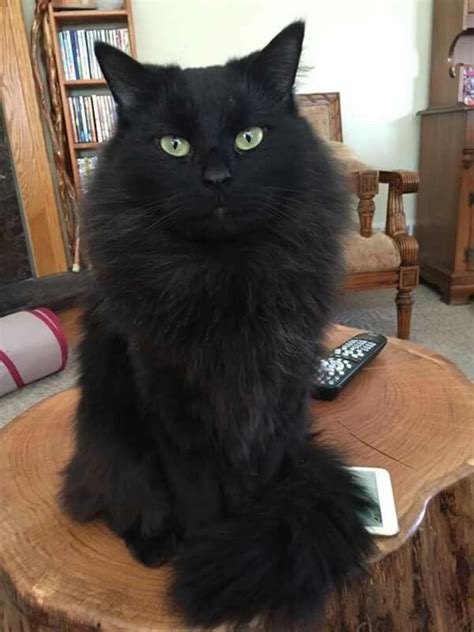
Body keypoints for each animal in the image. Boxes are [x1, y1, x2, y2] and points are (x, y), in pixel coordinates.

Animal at [62, 22, 374, 628]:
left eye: (249, 138)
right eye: (173, 145)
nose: (218, 178)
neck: (227, 278)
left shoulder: (277, 403)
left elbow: (259, 491)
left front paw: (242, 548)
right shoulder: (174, 411)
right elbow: (200, 500)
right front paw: (206, 554)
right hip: (113, 441)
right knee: (121, 501)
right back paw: (156, 545)